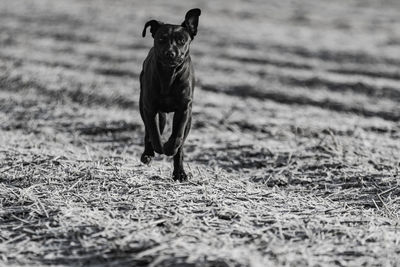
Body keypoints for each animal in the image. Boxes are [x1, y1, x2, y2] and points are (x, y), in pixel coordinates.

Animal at [140, 9, 202, 183]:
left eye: (181, 40)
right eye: (161, 38)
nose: (170, 53)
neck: (168, 76)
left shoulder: (184, 109)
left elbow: (178, 135)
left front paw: (169, 147)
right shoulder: (149, 108)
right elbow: (153, 132)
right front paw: (158, 147)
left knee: (180, 144)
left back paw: (179, 172)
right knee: (149, 130)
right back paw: (148, 154)